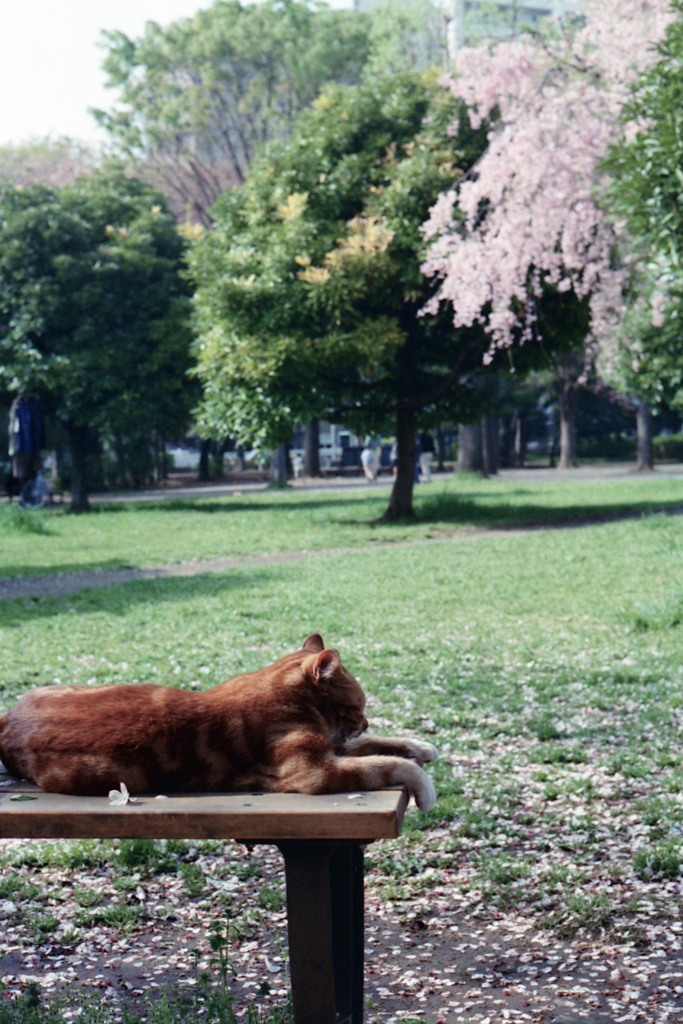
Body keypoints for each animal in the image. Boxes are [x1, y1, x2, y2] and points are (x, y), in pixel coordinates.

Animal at [0, 634, 438, 811]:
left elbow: (382, 747)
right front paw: (425, 787)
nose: (365, 721)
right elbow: (385, 764)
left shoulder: (334, 746)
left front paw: (420, 745)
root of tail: (8, 719)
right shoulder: (314, 770)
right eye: (358, 707)